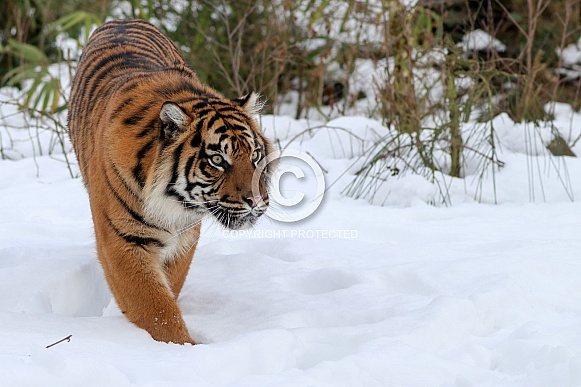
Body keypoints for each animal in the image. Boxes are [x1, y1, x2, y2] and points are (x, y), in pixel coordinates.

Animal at [67, 19, 276, 346]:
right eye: (217, 160)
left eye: (254, 155)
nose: (256, 201)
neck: (173, 203)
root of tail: (121, 20)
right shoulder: (122, 240)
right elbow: (155, 306)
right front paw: (181, 347)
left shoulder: (184, 238)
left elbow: (169, 289)